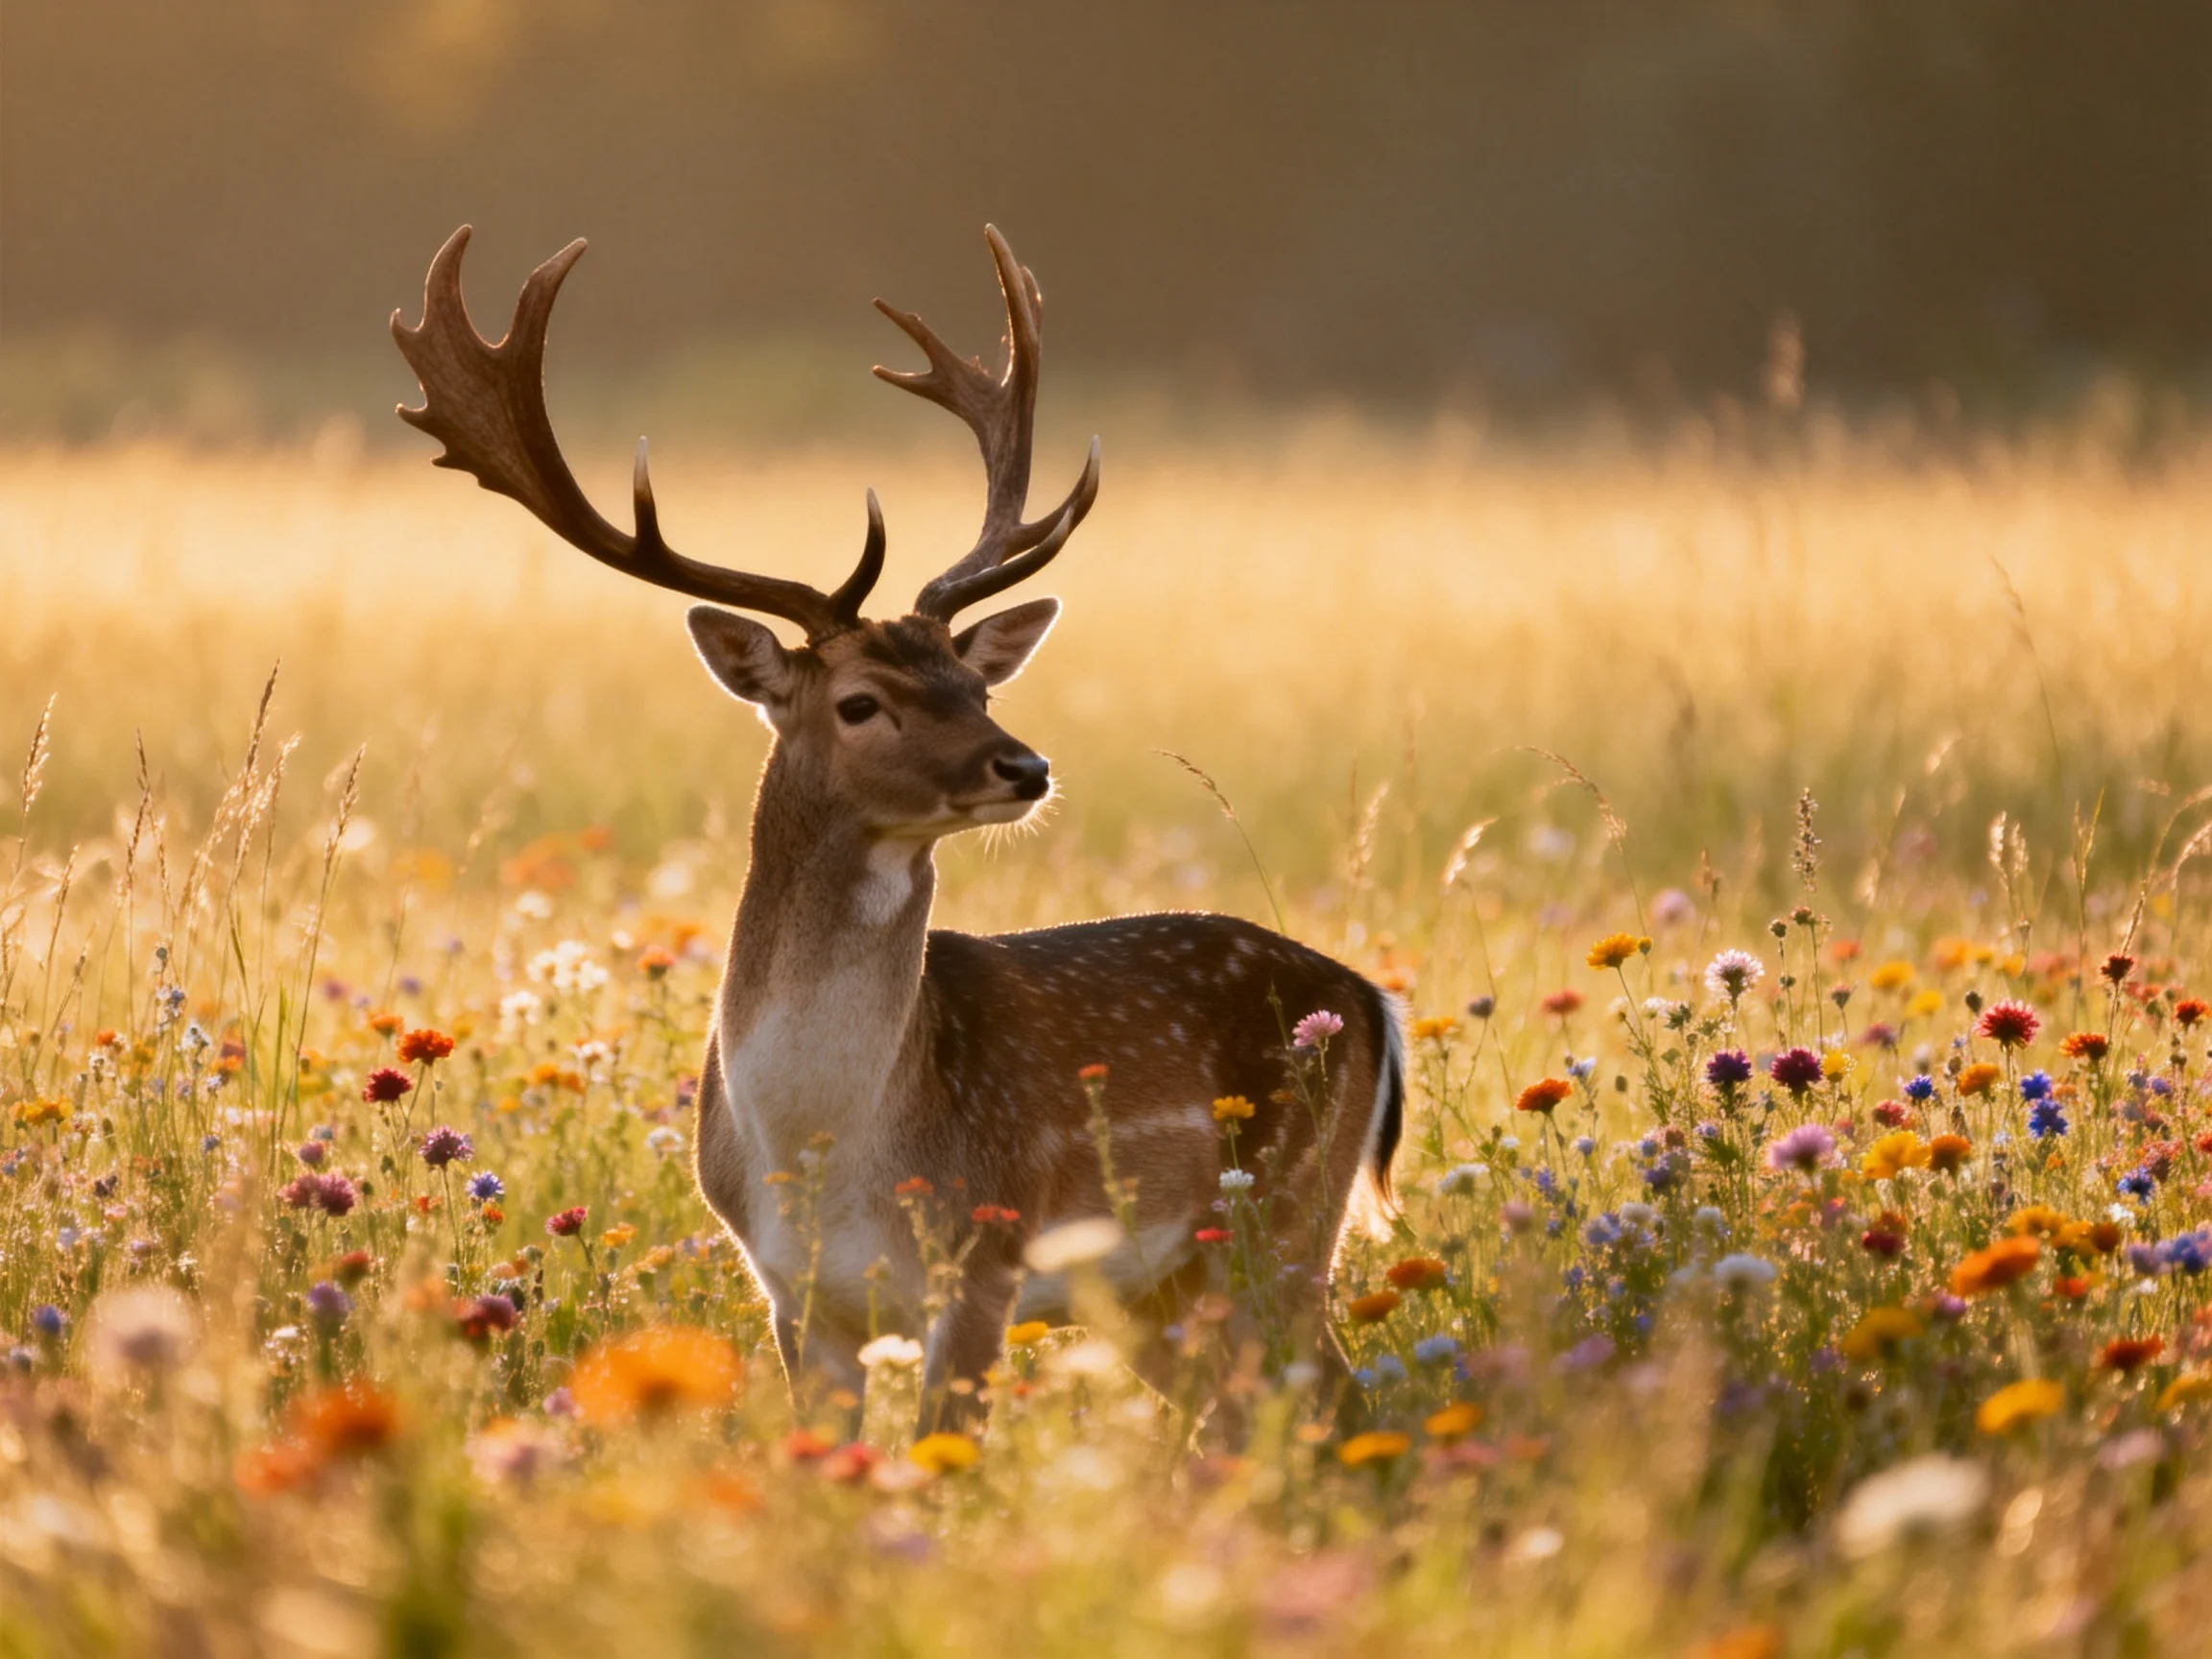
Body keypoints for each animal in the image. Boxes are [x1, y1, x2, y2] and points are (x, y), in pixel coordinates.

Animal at [392, 224, 1404, 1430]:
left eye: (974, 683)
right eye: (861, 702)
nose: (1026, 765)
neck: (829, 1156)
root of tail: (1372, 999)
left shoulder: (985, 1258)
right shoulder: (791, 1297)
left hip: (1282, 1222)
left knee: (1345, 1401)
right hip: (1169, 1292)